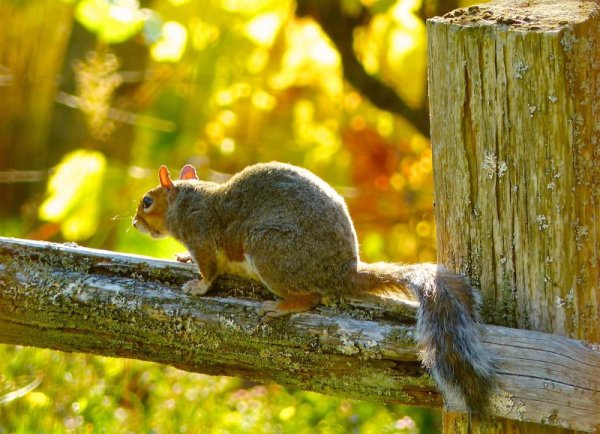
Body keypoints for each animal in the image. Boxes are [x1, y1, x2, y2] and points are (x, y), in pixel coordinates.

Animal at [134, 162, 494, 414]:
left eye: (147, 201)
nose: (134, 223)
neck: (188, 200)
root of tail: (341, 275)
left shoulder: (203, 237)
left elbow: (209, 270)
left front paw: (198, 286)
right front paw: (183, 258)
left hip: (268, 248)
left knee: (310, 298)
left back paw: (280, 307)